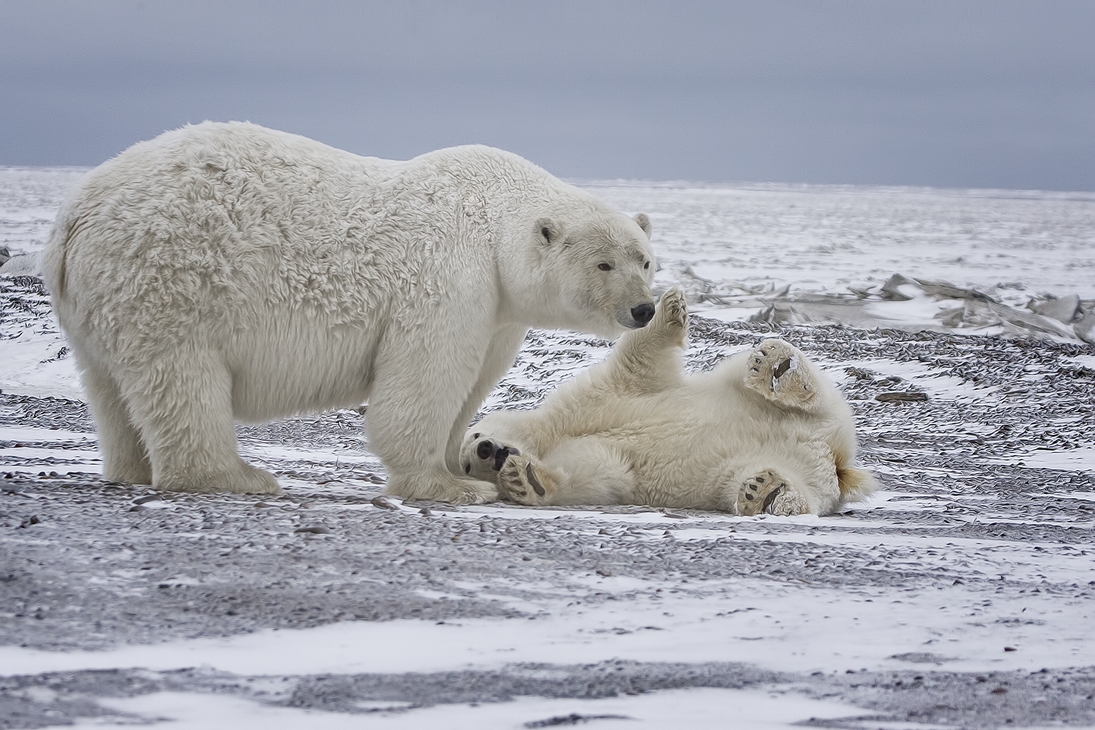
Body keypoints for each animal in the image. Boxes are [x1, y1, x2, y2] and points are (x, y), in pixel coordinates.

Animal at [42, 122, 652, 505]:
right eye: (603, 263)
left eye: (645, 259)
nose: (643, 308)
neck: (491, 221)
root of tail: (73, 217)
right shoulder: (449, 281)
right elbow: (424, 379)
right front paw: (449, 485)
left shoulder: (498, 311)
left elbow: (472, 383)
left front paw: (469, 464)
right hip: (172, 277)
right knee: (183, 378)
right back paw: (237, 476)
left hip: (104, 303)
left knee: (111, 387)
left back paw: (133, 468)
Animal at [459, 288, 871, 516]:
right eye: (465, 466)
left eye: (474, 433)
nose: (486, 450)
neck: (551, 433)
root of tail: (833, 460)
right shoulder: (593, 453)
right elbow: (594, 474)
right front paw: (524, 478)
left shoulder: (590, 399)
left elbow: (636, 365)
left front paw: (668, 307)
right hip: (757, 469)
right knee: (786, 486)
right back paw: (767, 493)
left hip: (785, 402)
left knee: (798, 392)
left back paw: (777, 367)